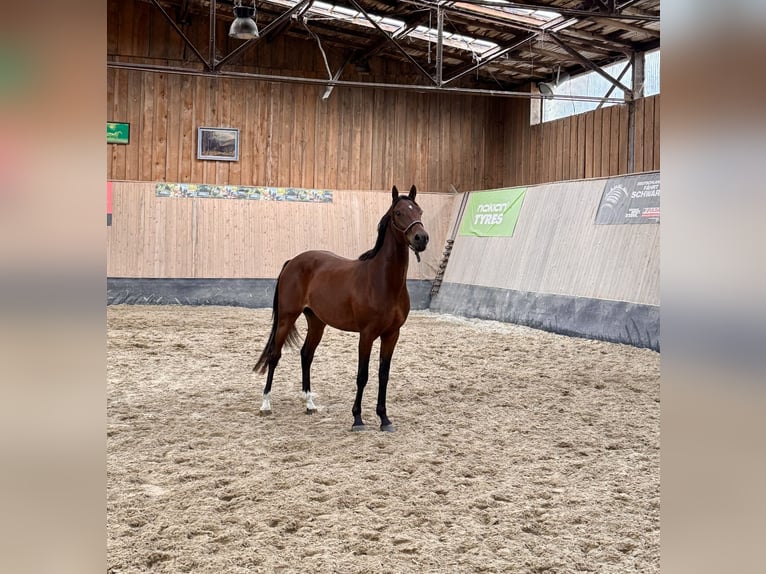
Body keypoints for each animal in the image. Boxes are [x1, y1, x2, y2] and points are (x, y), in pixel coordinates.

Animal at [254, 184, 428, 432]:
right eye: (399, 213)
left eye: (419, 211)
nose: (421, 238)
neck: (382, 281)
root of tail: (292, 261)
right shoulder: (366, 334)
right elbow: (362, 375)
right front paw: (357, 419)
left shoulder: (392, 334)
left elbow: (383, 375)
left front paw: (384, 419)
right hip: (287, 318)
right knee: (274, 355)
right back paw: (266, 404)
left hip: (316, 322)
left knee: (306, 355)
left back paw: (310, 403)